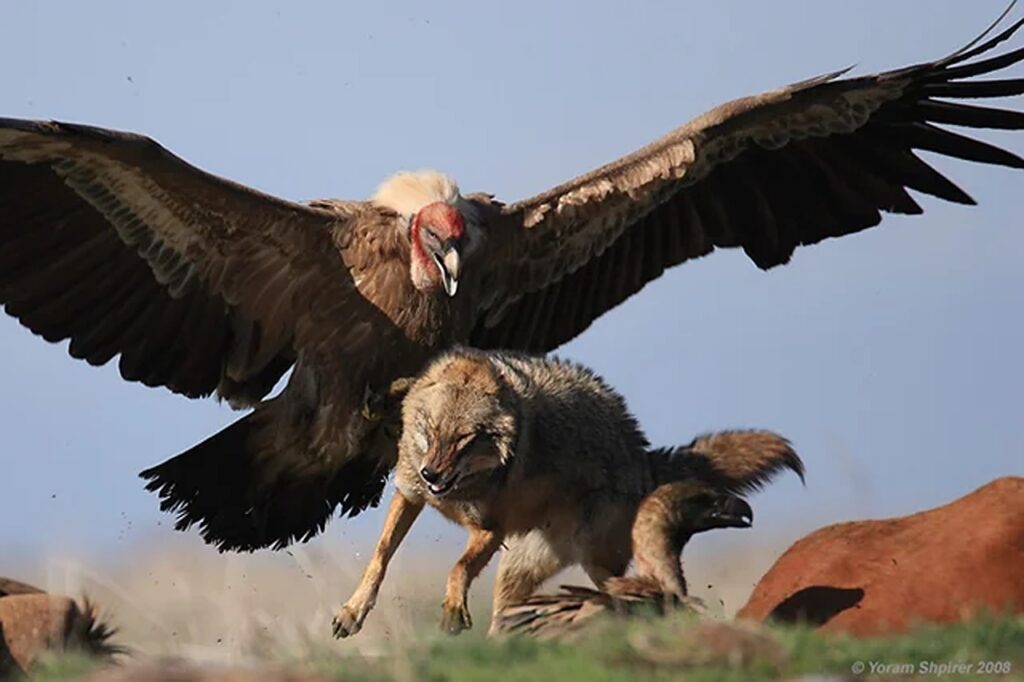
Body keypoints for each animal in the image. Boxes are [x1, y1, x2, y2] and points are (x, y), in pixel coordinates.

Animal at [332, 347, 803, 637]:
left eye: (465, 439)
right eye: (431, 432)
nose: (432, 473)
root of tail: (642, 453)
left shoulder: (489, 530)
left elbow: (457, 569)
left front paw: (452, 611)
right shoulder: (410, 496)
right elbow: (379, 558)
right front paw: (352, 613)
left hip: (594, 562)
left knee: (634, 591)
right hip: (519, 571)